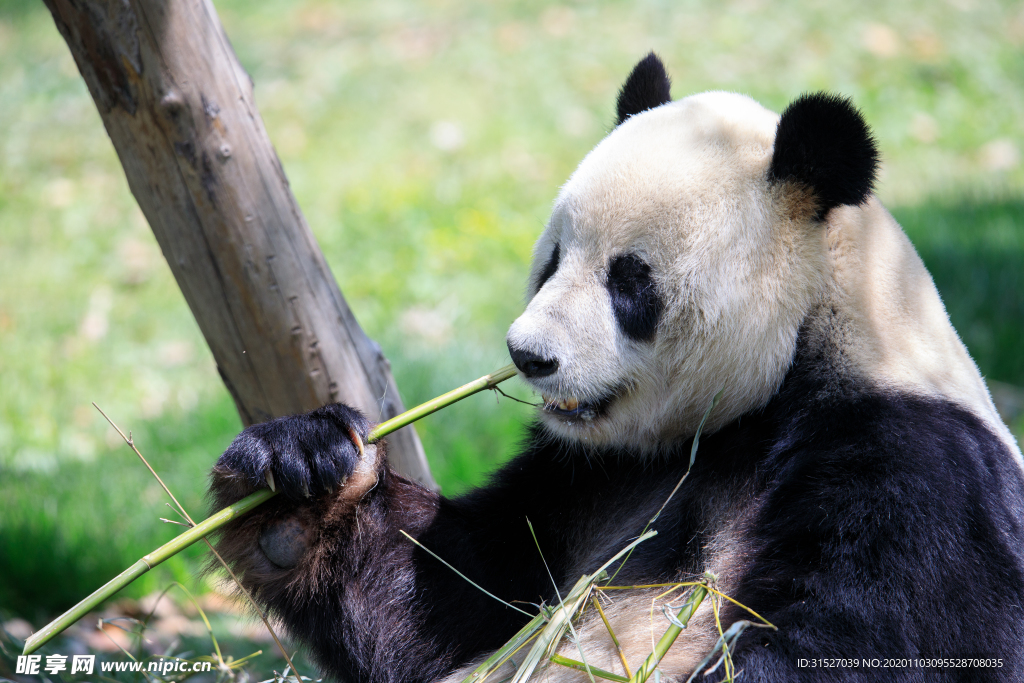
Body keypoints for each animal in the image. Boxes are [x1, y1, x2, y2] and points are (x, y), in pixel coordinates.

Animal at [207, 54, 1024, 683]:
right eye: (552, 260)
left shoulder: (908, 467)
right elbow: (460, 594)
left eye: (629, 280)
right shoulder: (590, 475)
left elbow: (869, 640)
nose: (528, 355)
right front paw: (298, 478)